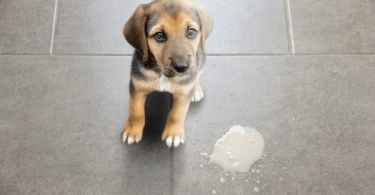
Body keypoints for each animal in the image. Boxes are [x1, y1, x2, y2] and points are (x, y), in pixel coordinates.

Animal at [122, 0, 213, 147]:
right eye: (159, 35)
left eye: (191, 32)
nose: (182, 67)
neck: (161, 73)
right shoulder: (137, 87)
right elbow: (136, 111)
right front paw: (132, 131)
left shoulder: (183, 94)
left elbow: (177, 114)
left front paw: (173, 134)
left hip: (201, 59)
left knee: (197, 74)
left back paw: (196, 90)